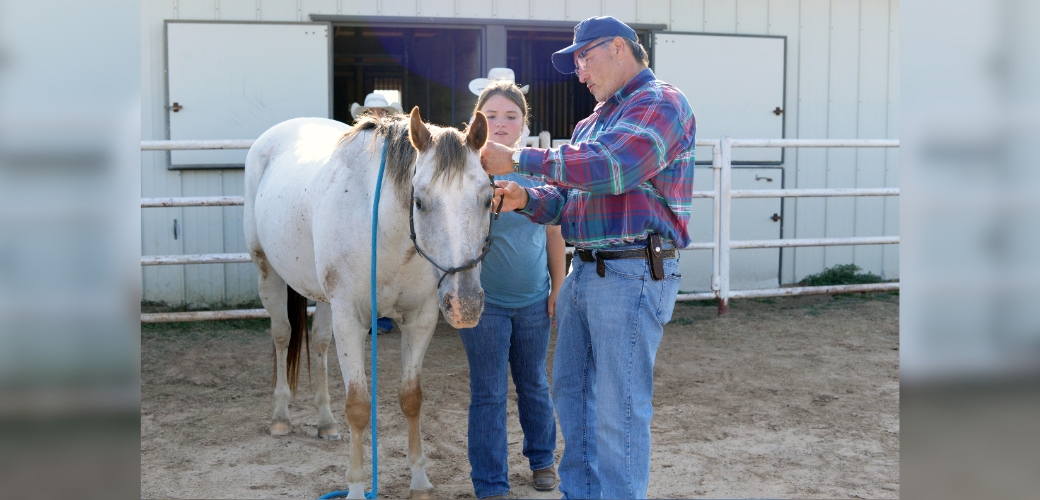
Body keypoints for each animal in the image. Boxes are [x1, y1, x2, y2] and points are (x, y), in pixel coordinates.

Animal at [244, 107, 492, 498]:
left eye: (488, 198)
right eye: (419, 202)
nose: (465, 304)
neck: (386, 233)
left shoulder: (419, 320)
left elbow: (411, 398)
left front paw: (419, 480)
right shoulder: (351, 321)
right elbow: (358, 406)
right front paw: (358, 487)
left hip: (324, 299)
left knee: (319, 343)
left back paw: (326, 422)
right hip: (268, 273)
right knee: (282, 335)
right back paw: (281, 416)